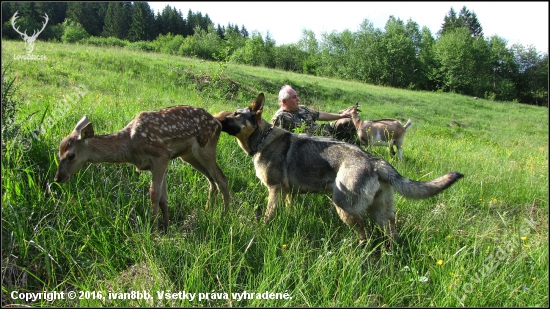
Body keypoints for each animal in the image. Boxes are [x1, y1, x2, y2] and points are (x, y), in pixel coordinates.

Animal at [54, 105, 231, 229]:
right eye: (58, 153)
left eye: (71, 155)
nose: (58, 178)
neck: (129, 145)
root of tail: (217, 121)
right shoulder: (158, 163)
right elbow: (163, 198)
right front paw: (167, 227)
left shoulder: (161, 156)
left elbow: (154, 193)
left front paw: (153, 229)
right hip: (188, 155)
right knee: (212, 181)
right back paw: (208, 210)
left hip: (205, 149)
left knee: (222, 179)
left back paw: (225, 216)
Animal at [216, 93, 466, 245]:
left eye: (235, 115)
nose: (217, 119)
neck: (262, 139)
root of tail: (375, 161)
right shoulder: (288, 193)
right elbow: (288, 210)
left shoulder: (275, 190)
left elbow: (268, 216)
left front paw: (262, 229)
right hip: (382, 216)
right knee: (390, 236)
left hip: (345, 207)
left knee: (365, 235)